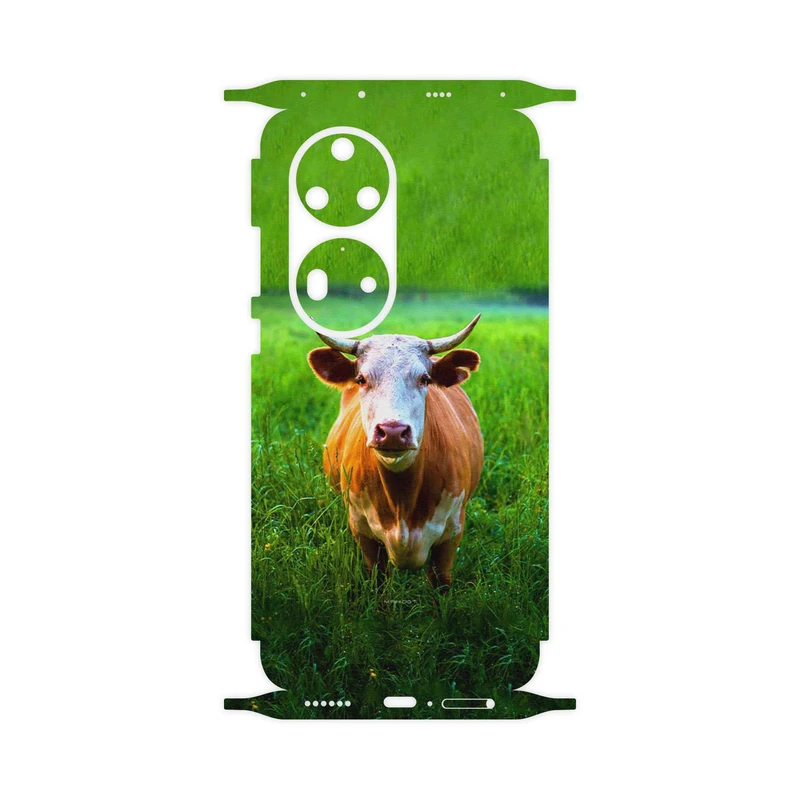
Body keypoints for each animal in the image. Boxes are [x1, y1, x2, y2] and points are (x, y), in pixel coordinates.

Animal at [307, 315, 484, 590]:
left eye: (425, 379)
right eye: (361, 379)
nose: (392, 431)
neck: (403, 500)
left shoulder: (451, 534)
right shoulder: (363, 533)